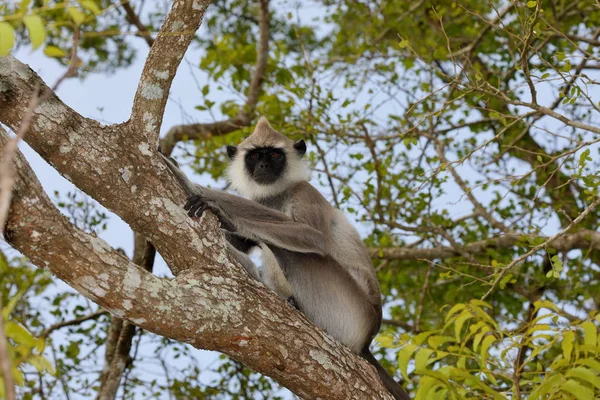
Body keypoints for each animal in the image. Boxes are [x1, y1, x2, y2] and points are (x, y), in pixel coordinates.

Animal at [162, 117, 410, 398]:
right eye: (255, 156)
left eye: (274, 155)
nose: (263, 166)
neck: (275, 195)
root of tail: (367, 338)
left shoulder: (305, 191)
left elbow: (314, 237)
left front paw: (219, 209)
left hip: (344, 311)